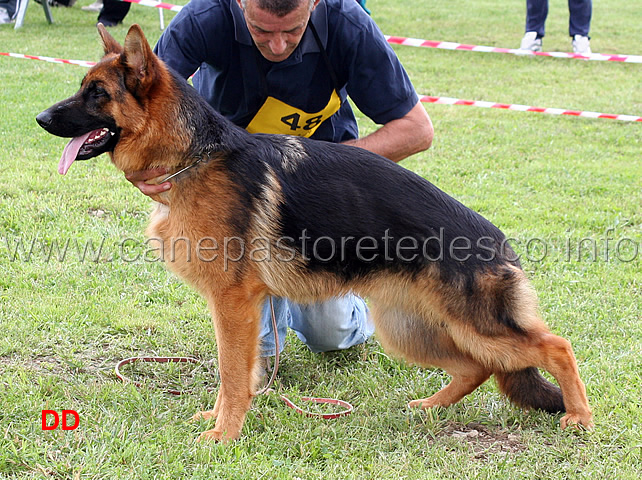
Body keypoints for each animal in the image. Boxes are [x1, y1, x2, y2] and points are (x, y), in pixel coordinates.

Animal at [36, 24, 592, 440]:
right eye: (82, 87)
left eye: (97, 94)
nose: (39, 118)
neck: (195, 157)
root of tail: (499, 244)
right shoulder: (240, 309)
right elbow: (236, 374)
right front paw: (218, 420)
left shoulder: (233, 302)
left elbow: (231, 373)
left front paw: (223, 435)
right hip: (408, 328)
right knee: (477, 368)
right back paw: (430, 406)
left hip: (473, 326)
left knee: (556, 346)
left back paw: (579, 417)